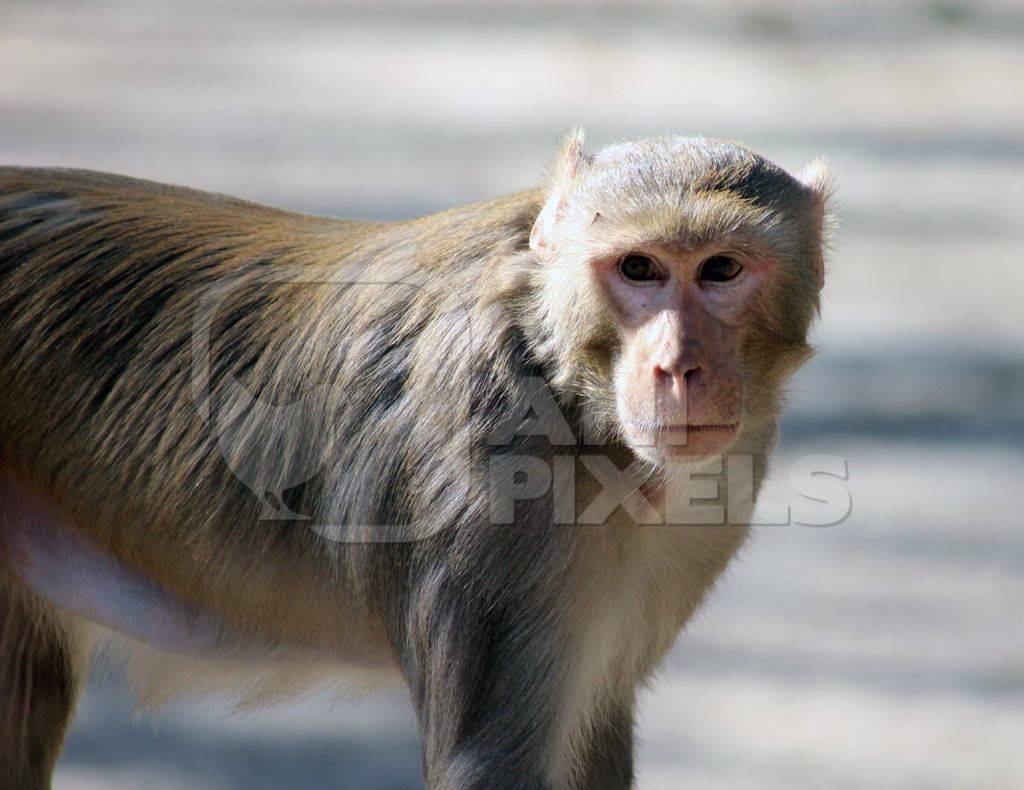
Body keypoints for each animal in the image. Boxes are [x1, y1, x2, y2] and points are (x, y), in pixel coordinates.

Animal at [0, 133, 827, 786]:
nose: (678, 367)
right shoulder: (491, 498)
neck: (570, 392)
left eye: (721, 270)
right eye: (640, 268)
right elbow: (490, 762)